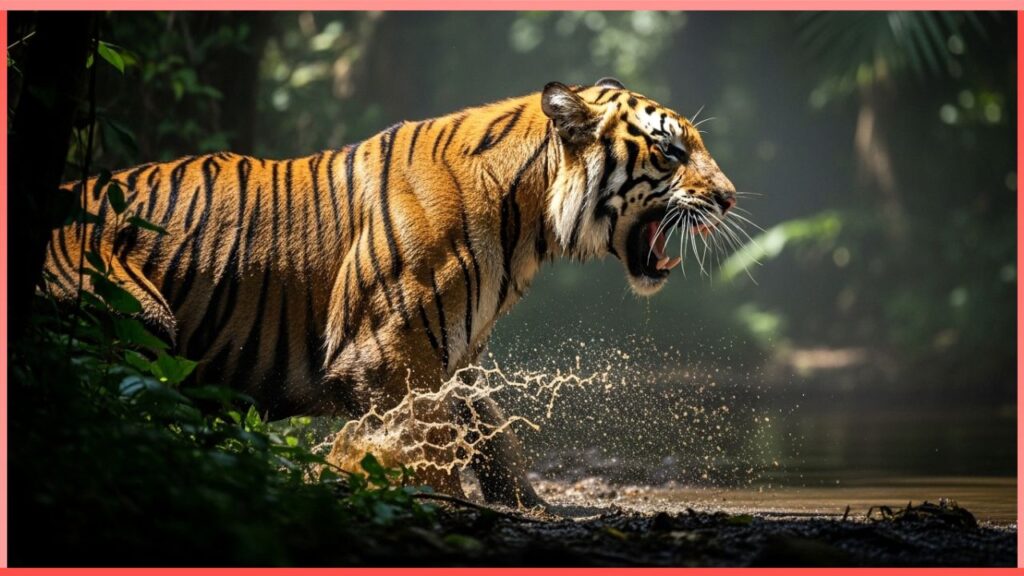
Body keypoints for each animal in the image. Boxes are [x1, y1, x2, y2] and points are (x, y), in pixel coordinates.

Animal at [43, 77, 736, 508]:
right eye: (672, 152)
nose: (729, 198)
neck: (531, 220)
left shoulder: (456, 356)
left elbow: (490, 433)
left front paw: (528, 504)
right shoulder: (389, 351)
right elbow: (430, 444)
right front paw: (433, 498)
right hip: (134, 314)